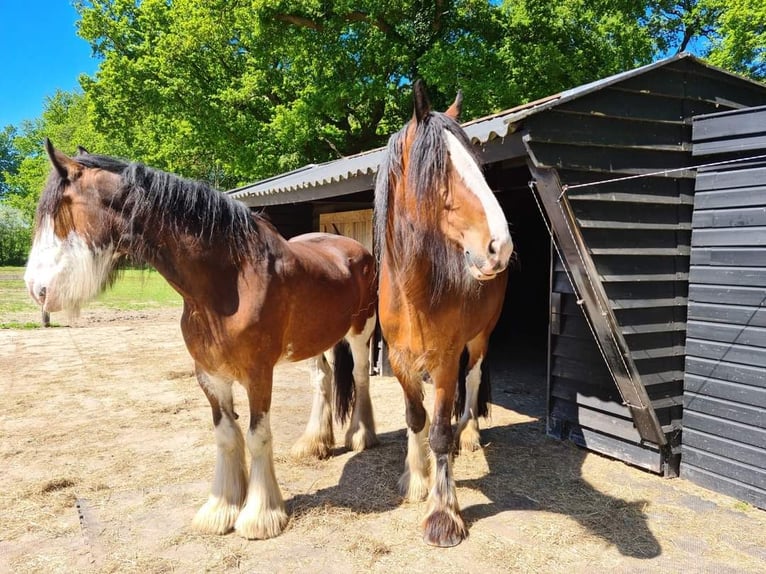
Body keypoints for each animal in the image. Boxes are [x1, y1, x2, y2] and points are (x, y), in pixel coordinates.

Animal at [25, 142, 380, 544]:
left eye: (60, 210)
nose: (36, 289)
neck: (229, 281)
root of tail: (353, 246)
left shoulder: (258, 375)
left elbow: (257, 436)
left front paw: (260, 516)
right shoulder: (209, 375)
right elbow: (226, 436)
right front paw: (221, 509)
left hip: (361, 332)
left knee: (362, 377)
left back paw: (361, 436)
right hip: (313, 340)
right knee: (322, 379)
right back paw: (313, 444)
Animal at [376, 82, 512, 548]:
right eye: (440, 171)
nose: (499, 246)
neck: (415, 292)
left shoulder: (447, 358)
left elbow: (437, 429)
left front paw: (443, 515)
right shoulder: (399, 359)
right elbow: (416, 418)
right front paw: (416, 480)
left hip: (480, 338)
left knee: (472, 382)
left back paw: (466, 435)